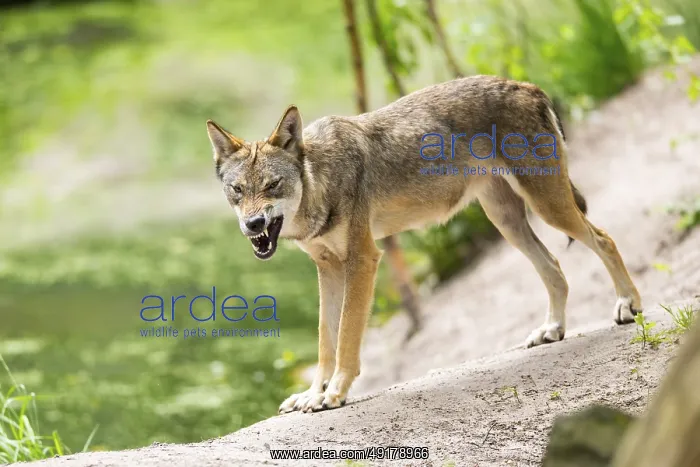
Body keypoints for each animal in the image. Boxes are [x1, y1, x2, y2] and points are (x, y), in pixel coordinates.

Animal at [205, 75, 643, 414]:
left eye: (272, 186)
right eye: (237, 190)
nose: (253, 224)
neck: (319, 181)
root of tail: (528, 86)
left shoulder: (363, 260)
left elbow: (345, 337)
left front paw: (334, 394)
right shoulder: (327, 269)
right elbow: (324, 341)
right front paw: (312, 394)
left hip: (548, 207)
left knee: (604, 239)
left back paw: (627, 305)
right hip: (507, 222)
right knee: (554, 266)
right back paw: (553, 330)